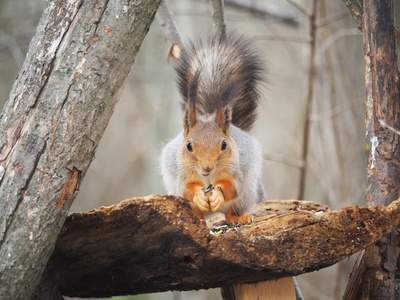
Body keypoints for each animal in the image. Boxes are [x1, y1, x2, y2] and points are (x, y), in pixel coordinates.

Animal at [159, 32, 266, 225]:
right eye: (189, 145)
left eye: (224, 145)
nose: (207, 167)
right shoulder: (183, 174)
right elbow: (187, 189)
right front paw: (198, 196)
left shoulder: (235, 171)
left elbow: (232, 187)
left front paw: (218, 195)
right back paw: (197, 218)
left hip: (246, 194)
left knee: (231, 211)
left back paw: (240, 217)